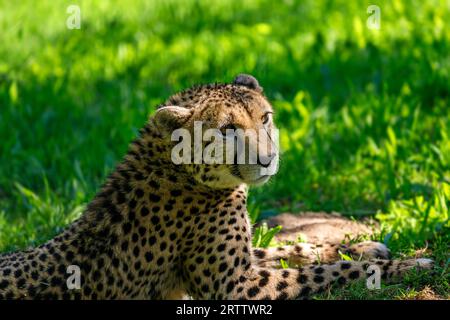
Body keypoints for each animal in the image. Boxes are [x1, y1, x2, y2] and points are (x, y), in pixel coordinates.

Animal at [0, 74, 432, 298]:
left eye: (265, 117)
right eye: (226, 130)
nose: (268, 159)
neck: (181, 172)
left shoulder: (241, 265)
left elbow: (283, 249)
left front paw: (356, 246)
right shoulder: (237, 288)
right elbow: (328, 273)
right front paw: (404, 265)